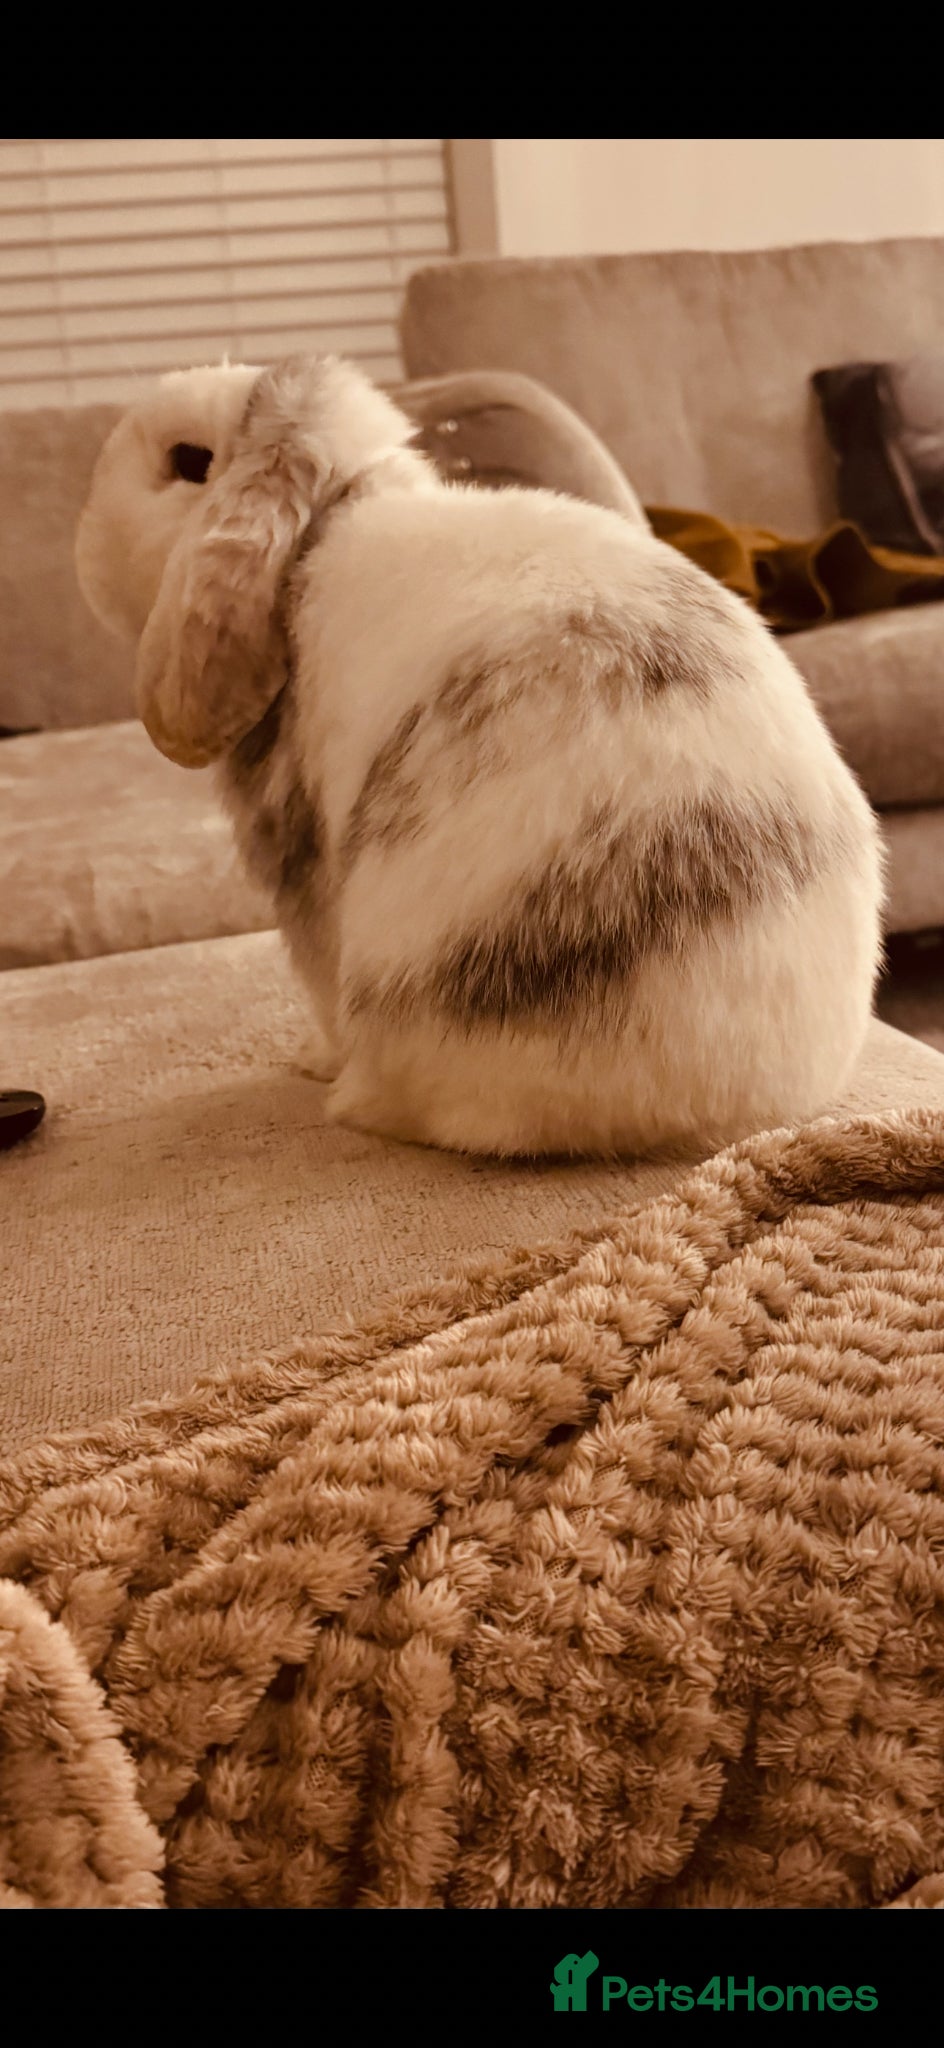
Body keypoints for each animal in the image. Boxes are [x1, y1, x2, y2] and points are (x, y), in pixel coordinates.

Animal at [75, 351, 885, 1159]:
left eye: (188, 461)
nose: (82, 542)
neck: (323, 532)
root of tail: (720, 1108)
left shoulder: (301, 867)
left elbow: (316, 978)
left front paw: (310, 1059)